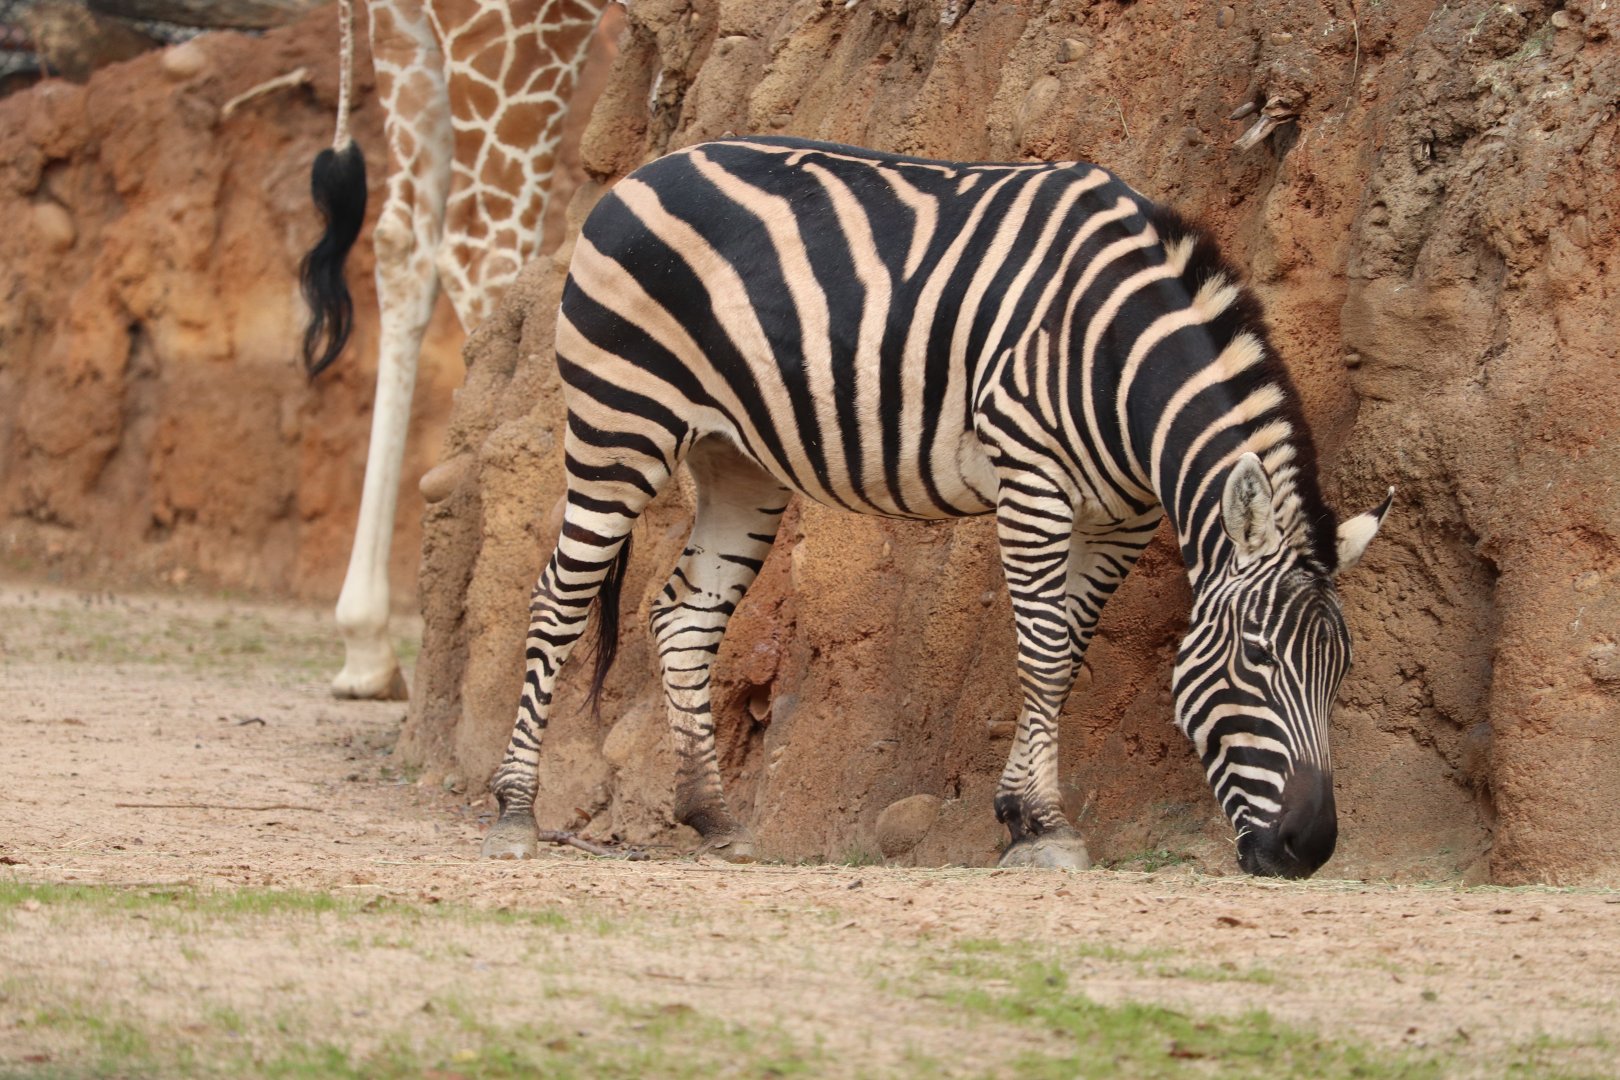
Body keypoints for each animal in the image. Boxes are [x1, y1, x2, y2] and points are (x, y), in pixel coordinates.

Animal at [479, 136, 1391, 877]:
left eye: (1343, 670)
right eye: (1258, 660)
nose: (1308, 850)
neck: (1120, 363)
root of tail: (642, 171)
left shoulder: (1122, 519)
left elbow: (1069, 652)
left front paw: (1019, 814)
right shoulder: (1032, 478)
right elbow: (1046, 654)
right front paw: (1048, 827)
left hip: (738, 462)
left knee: (682, 617)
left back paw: (713, 817)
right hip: (621, 423)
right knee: (557, 601)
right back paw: (515, 814)